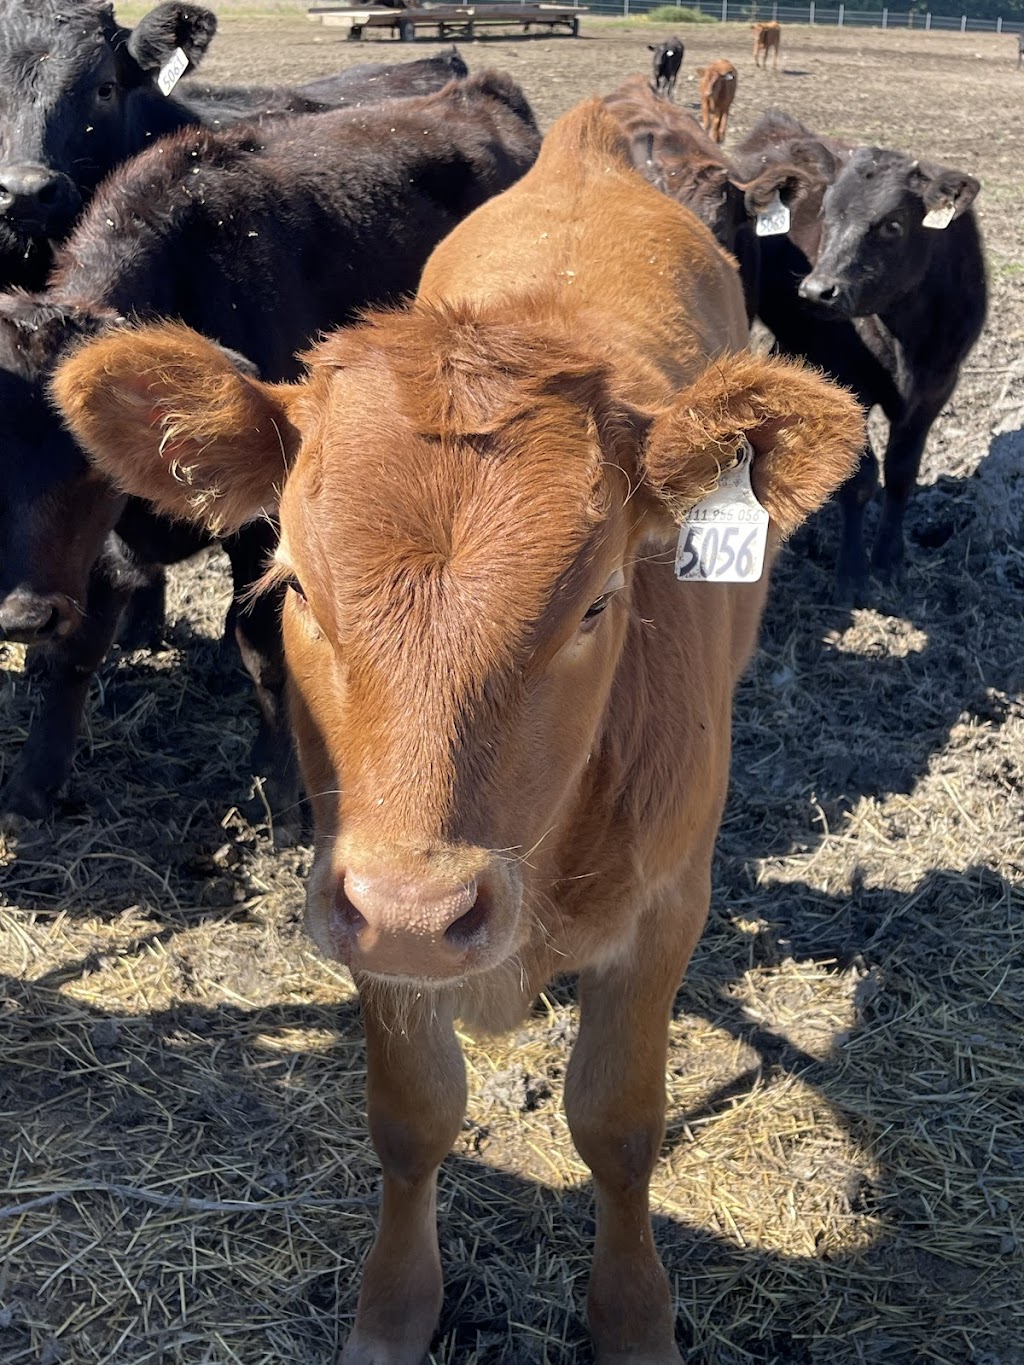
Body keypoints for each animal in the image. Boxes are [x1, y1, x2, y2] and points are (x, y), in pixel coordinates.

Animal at [0, 72, 546, 819]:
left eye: (89, 461)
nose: (25, 615)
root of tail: (483, 92)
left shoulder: (264, 519)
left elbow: (263, 647)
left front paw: (284, 780)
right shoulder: (107, 543)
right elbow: (82, 645)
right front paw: (36, 779)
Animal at [55, 98, 868, 1365]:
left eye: (595, 602)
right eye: (296, 585)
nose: (421, 908)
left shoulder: (665, 904)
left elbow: (617, 1124)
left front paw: (633, 1316)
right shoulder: (363, 896)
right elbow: (411, 1116)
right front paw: (395, 1311)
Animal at [737, 114, 988, 606]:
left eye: (892, 225)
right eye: (825, 214)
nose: (817, 291)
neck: (905, 335)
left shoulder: (937, 388)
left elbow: (902, 474)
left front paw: (890, 559)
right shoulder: (844, 378)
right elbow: (861, 481)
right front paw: (852, 574)